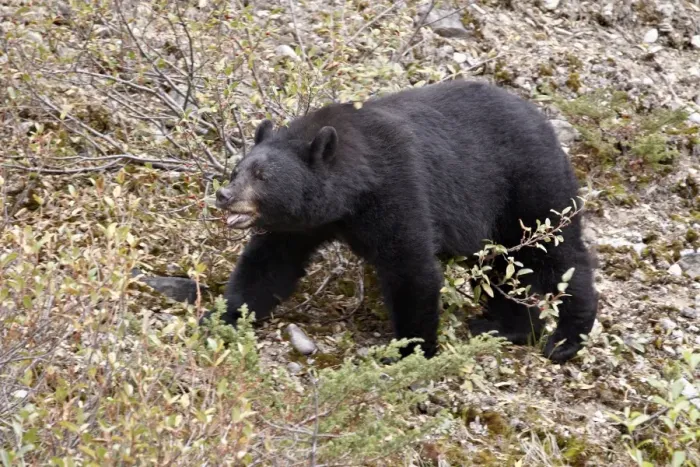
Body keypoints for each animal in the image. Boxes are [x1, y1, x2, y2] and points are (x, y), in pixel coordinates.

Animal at [202, 79, 598, 363]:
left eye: (262, 176)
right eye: (238, 170)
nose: (225, 195)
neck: (351, 190)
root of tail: (547, 126)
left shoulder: (396, 187)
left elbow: (410, 266)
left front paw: (410, 351)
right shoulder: (301, 223)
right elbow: (269, 263)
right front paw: (222, 316)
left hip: (530, 187)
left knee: (558, 258)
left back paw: (565, 340)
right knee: (505, 267)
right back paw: (507, 327)